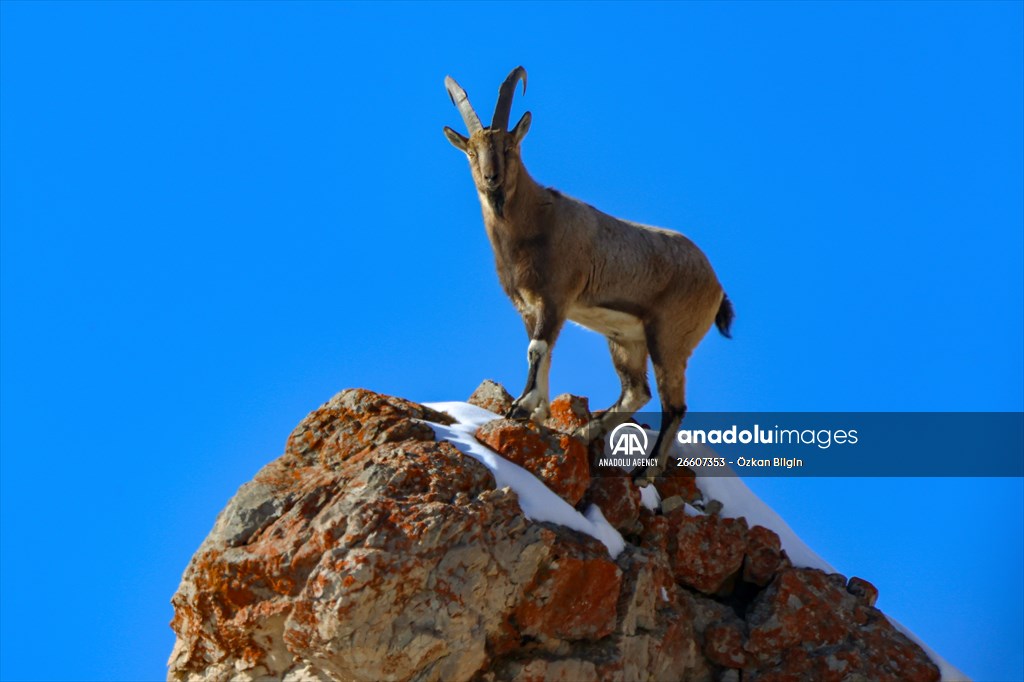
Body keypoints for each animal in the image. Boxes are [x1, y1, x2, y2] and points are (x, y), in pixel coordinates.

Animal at [443, 66, 733, 483]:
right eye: (471, 151)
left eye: (510, 147)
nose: (491, 178)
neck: (534, 221)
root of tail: (717, 287)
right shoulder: (530, 308)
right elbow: (540, 351)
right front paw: (537, 410)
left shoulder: (556, 298)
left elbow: (537, 348)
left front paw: (522, 406)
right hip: (627, 341)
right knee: (637, 391)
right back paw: (585, 432)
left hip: (669, 339)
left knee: (673, 405)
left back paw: (644, 472)